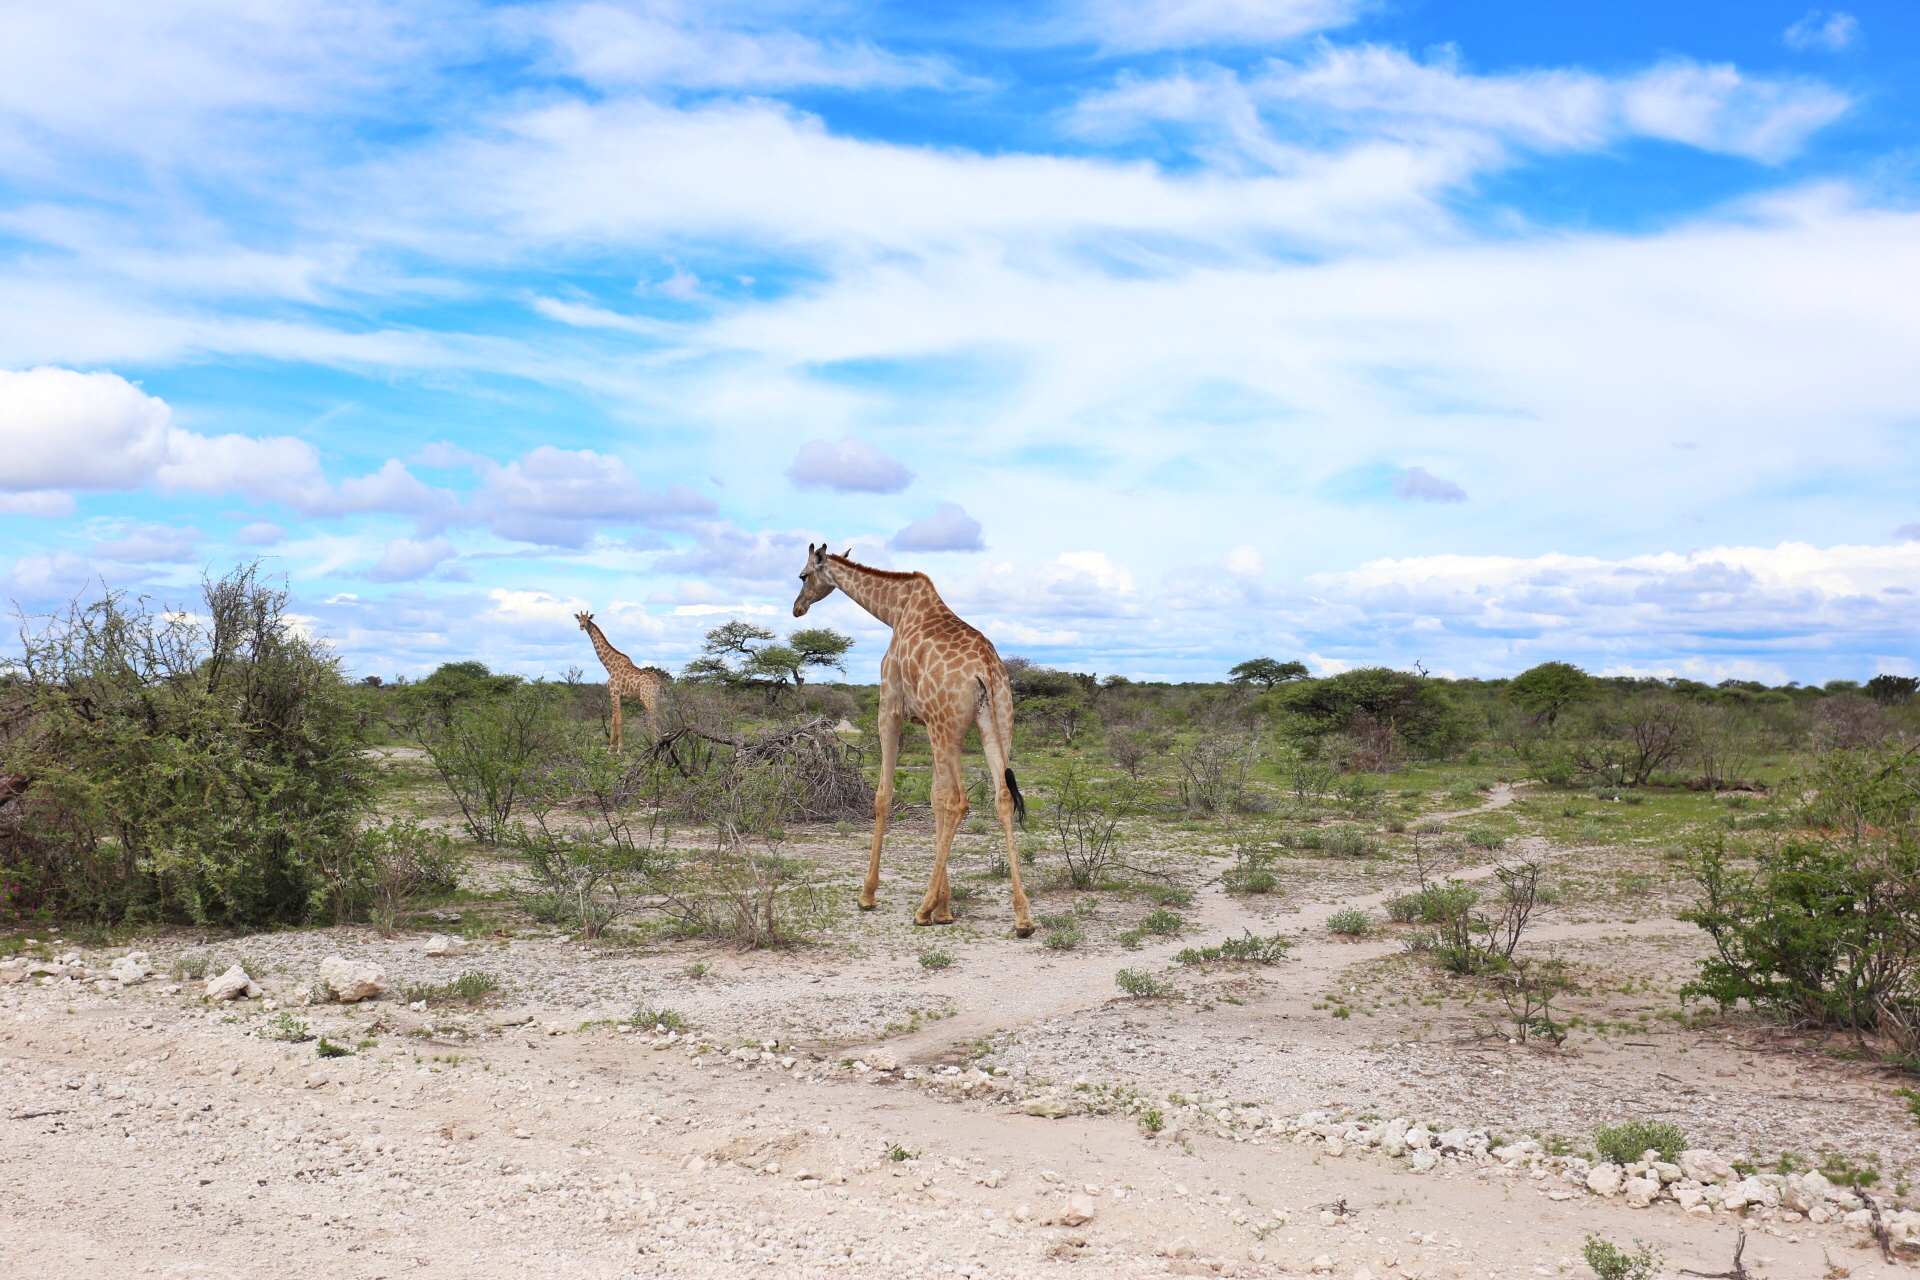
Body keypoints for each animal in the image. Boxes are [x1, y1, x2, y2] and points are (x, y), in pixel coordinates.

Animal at [568, 610, 660, 752]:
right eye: (579, 619)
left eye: (588, 619)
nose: (582, 626)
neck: (610, 666)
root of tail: (658, 682)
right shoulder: (616, 695)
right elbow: (613, 719)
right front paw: (610, 748)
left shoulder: (615, 693)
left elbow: (618, 719)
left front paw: (619, 749)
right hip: (655, 696)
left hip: (647, 696)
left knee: (653, 715)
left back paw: (655, 743)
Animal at [791, 545, 1036, 936]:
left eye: (802, 575)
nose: (797, 608)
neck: (894, 610)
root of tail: (986, 669)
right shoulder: (925, 721)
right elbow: (933, 799)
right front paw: (945, 908)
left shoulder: (890, 707)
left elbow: (885, 795)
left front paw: (869, 895)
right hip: (996, 721)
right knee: (1000, 796)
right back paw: (1023, 917)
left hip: (947, 726)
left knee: (958, 801)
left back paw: (921, 910)